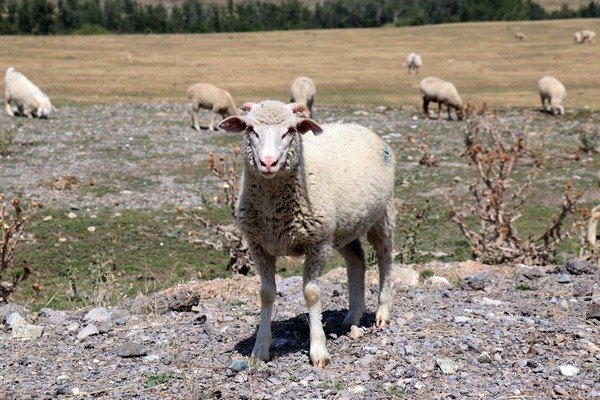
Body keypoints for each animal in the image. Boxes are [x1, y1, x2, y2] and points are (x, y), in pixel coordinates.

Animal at [218, 101, 396, 368]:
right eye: (250, 128)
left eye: (291, 130)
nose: (268, 162)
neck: (274, 214)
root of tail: (357, 125)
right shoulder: (258, 245)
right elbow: (266, 293)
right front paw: (260, 347)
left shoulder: (318, 243)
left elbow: (312, 294)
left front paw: (318, 349)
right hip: (343, 226)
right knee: (357, 259)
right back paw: (353, 315)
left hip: (382, 213)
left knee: (385, 257)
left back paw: (382, 311)